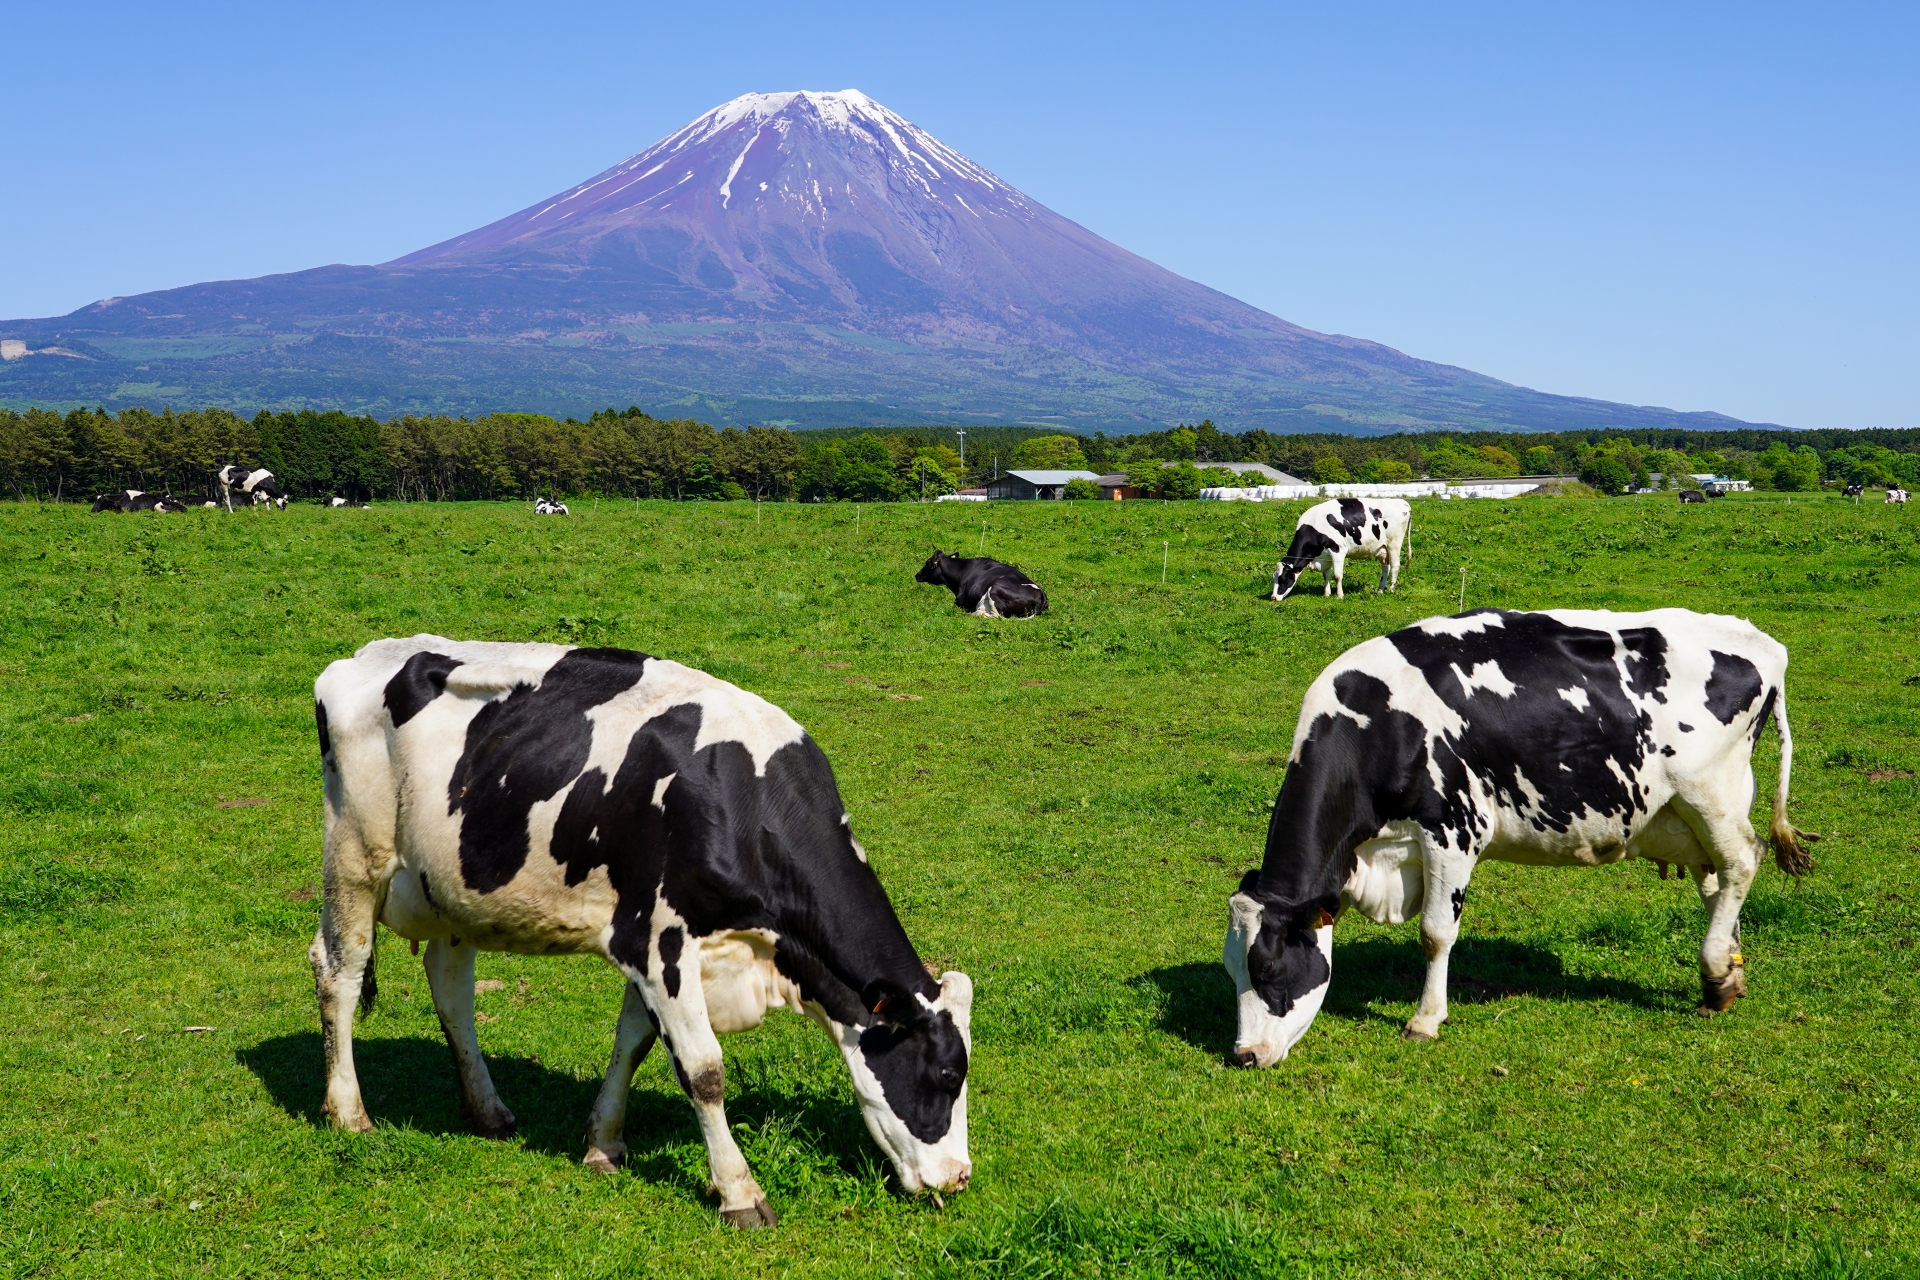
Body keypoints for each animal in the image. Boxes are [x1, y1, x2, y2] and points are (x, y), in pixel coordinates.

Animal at [318, 637, 975, 1228]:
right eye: (947, 1075)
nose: (959, 1178)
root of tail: (362, 656)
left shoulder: (646, 942)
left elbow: (632, 1043)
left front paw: (603, 1144)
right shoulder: (662, 943)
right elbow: (703, 1069)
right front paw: (739, 1193)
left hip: (451, 889)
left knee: (451, 988)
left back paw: (489, 1113)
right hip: (354, 860)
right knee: (338, 974)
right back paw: (348, 1113)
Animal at [913, 552, 1052, 621]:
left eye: (927, 562)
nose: (916, 575)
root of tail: (1041, 593)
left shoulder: (959, 603)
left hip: (995, 589)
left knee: (995, 616)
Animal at [1221, 606, 1820, 1066]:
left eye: (1267, 967)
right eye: (1230, 968)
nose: (1244, 1055)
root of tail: (1761, 642)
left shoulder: (1452, 829)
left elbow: (1435, 933)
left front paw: (1425, 1019)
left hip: (1709, 792)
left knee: (1743, 861)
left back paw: (1717, 970)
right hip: (1689, 812)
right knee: (1717, 881)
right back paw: (1727, 978)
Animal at [1274, 498, 1413, 602]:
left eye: (1282, 579)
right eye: (1273, 578)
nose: (1273, 597)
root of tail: (1402, 502)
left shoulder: (1338, 550)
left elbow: (1337, 575)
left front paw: (1340, 595)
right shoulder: (1325, 556)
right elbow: (1326, 575)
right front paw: (1327, 593)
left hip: (1394, 543)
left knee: (1395, 566)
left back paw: (1391, 589)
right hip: (1382, 549)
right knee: (1385, 567)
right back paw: (1380, 590)